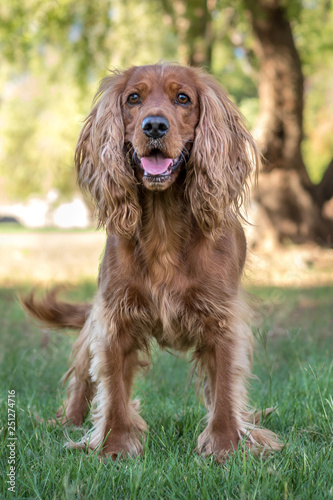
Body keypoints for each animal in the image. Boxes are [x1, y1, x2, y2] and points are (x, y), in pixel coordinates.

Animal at [21, 62, 280, 460]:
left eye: (183, 98)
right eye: (133, 98)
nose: (154, 126)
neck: (163, 222)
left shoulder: (223, 319)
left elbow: (225, 388)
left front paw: (225, 446)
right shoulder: (114, 317)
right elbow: (113, 390)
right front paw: (113, 446)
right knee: (82, 375)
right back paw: (70, 422)